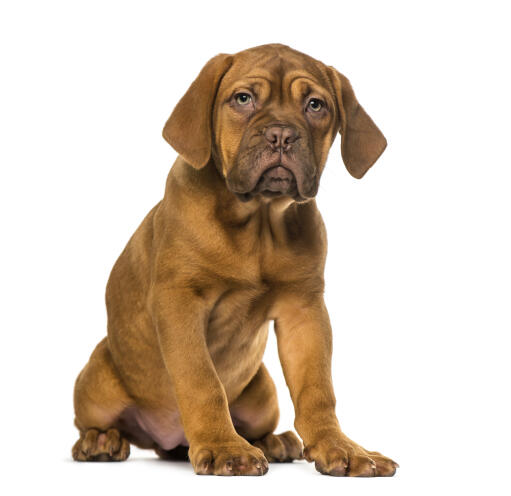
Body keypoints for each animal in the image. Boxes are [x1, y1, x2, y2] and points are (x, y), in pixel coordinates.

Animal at [73, 43, 400, 476]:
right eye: (243, 99)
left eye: (315, 105)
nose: (282, 134)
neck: (258, 222)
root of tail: (165, 441)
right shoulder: (180, 301)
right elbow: (202, 381)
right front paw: (223, 445)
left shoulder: (305, 311)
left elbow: (318, 389)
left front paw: (340, 447)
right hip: (98, 382)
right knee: (93, 422)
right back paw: (99, 442)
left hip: (262, 393)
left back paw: (274, 441)